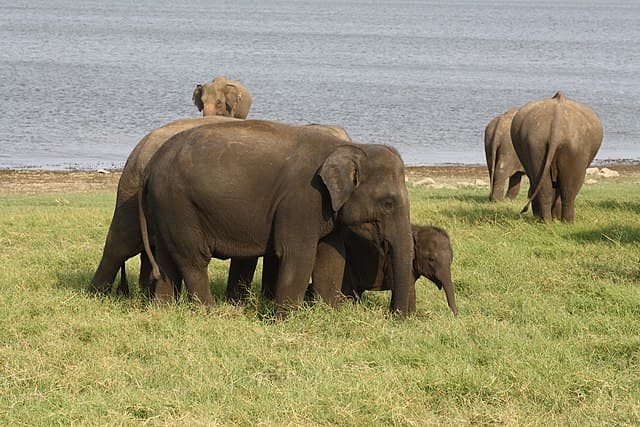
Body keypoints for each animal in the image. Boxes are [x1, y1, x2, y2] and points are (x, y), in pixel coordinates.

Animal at [138, 119, 415, 315]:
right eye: (388, 203)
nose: (397, 316)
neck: (348, 147)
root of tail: (151, 165)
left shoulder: (326, 208)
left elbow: (331, 256)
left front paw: (332, 313)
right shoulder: (303, 199)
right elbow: (297, 254)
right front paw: (285, 318)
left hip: (167, 208)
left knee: (167, 258)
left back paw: (163, 310)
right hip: (179, 205)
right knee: (194, 259)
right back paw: (209, 312)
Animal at [310, 225, 457, 315]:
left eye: (451, 258)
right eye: (431, 259)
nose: (455, 316)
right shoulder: (394, 262)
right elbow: (407, 288)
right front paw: (409, 318)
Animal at [511, 91, 603, 223]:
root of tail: (557, 128)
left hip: (538, 144)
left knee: (547, 187)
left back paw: (548, 222)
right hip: (575, 148)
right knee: (569, 188)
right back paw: (567, 222)